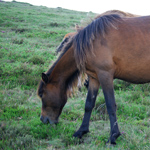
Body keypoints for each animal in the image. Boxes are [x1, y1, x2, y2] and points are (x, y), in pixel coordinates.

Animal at [37, 13, 150, 144]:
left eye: (42, 94)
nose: (43, 119)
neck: (91, 43)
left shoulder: (105, 75)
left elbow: (110, 105)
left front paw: (113, 136)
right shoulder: (94, 77)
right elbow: (88, 104)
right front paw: (81, 131)